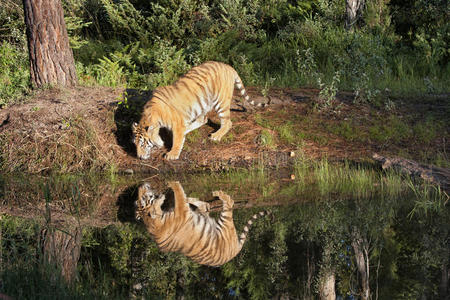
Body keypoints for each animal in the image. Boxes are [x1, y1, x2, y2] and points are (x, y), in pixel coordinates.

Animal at [135, 182, 268, 266]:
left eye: (140, 199)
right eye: (143, 198)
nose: (140, 185)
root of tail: (235, 251)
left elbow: (183, 199)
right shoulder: (181, 211)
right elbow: (179, 194)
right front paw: (173, 182)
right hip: (225, 223)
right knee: (230, 202)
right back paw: (219, 193)